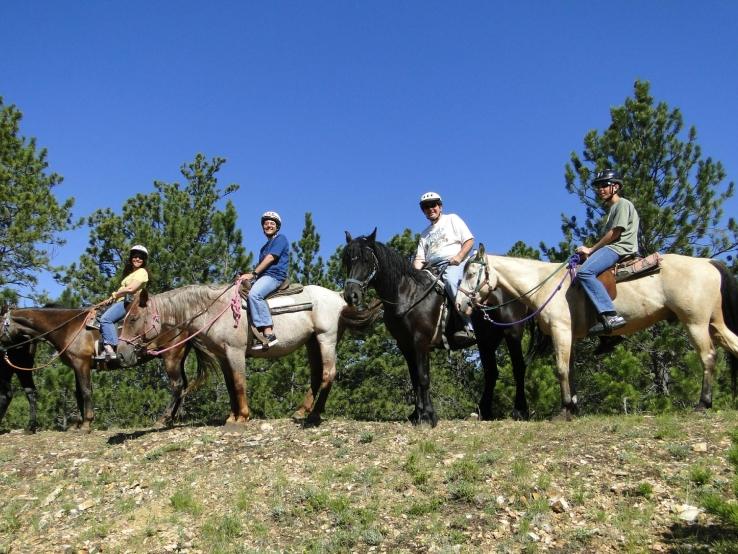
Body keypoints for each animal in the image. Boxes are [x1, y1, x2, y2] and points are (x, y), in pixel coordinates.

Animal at [116, 280, 380, 422]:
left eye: (134, 318)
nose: (120, 353)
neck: (216, 310)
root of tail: (337, 296)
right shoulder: (223, 356)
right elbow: (230, 385)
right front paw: (232, 416)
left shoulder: (235, 352)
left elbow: (240, 382)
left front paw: (243, 415)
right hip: (312, 342)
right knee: (317, 376)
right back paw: (301, 411)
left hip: (326, 338)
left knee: (328, 373)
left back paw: (314, 414)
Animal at [342, 226, 536, 424]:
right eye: (347, 260)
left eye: (367, 260)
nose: (351, 295)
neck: (408, 294)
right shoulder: (405, 345)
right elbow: (414, 378)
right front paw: (417, 414)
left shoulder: (420, 341)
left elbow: (423, 377)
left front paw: (428, 415)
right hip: (487, 341)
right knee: (491, 373)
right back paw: (484, 412)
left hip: (512, 333)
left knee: (518, 368)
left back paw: (520, 411)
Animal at [454, 244, 736, 416]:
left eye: (470, 273)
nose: (459, 304)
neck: (546, 284)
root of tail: (708, 262)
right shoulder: (570, 336)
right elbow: (570, 371)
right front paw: (573, 408)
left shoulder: (561, 330)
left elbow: (560, 369)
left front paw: (564, 410)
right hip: (714, 323)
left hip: (695, 322)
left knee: (708, 357)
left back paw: (703, 403)